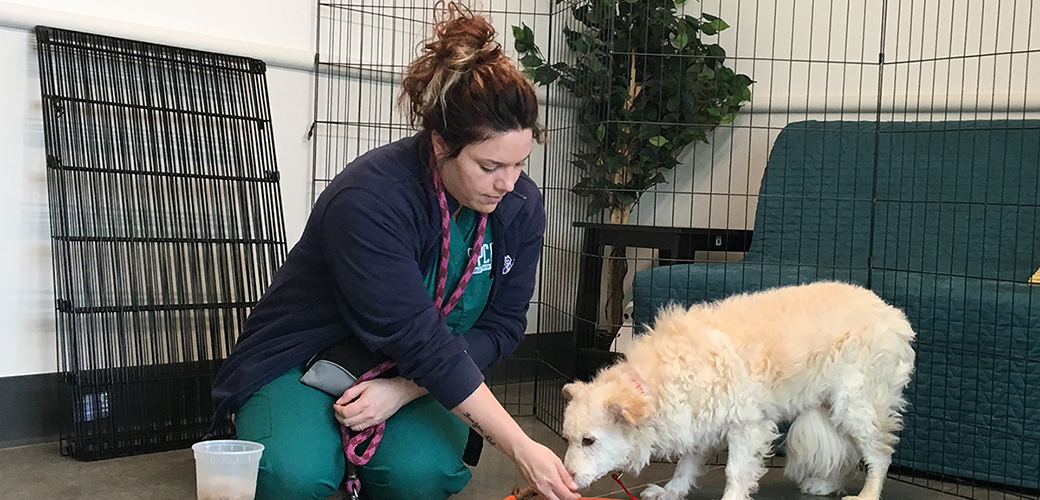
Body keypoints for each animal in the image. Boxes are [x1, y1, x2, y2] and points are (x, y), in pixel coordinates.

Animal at [565, 280, 915, 498]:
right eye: (568, 439)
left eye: (589, 441)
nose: (566, 476)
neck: (650, 388)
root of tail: (891, 313)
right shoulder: (698, 423)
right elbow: (685, 465)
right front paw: (671, 492)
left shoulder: (747, 428)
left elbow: (735, 473)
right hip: (833, 409)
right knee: (851, 452)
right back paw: (826, 486)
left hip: (857, 406)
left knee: (880, 455)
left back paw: (866, 495)